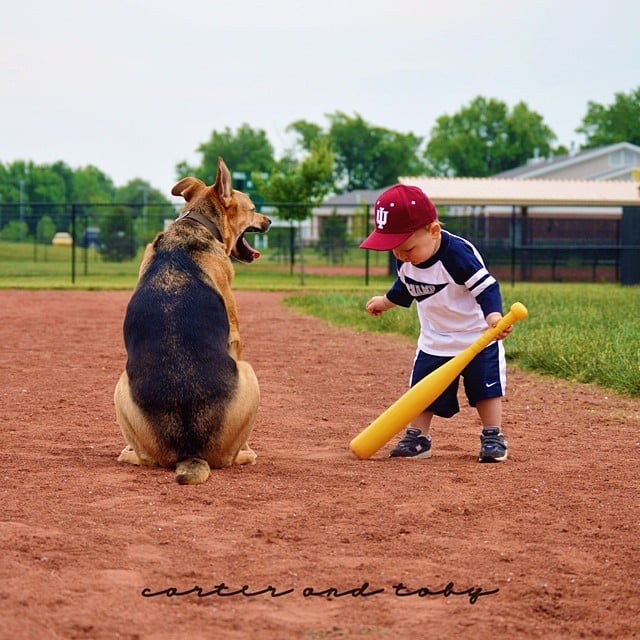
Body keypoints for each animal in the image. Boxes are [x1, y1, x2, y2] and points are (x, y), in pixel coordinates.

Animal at [115, 156, 270, 484]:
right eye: (252, 208)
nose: (269, 220)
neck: (195, 223)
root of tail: (190, 453)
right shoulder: (236, 336)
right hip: (248, 372)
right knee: (230, 457)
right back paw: (247, 454)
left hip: (120, 386)